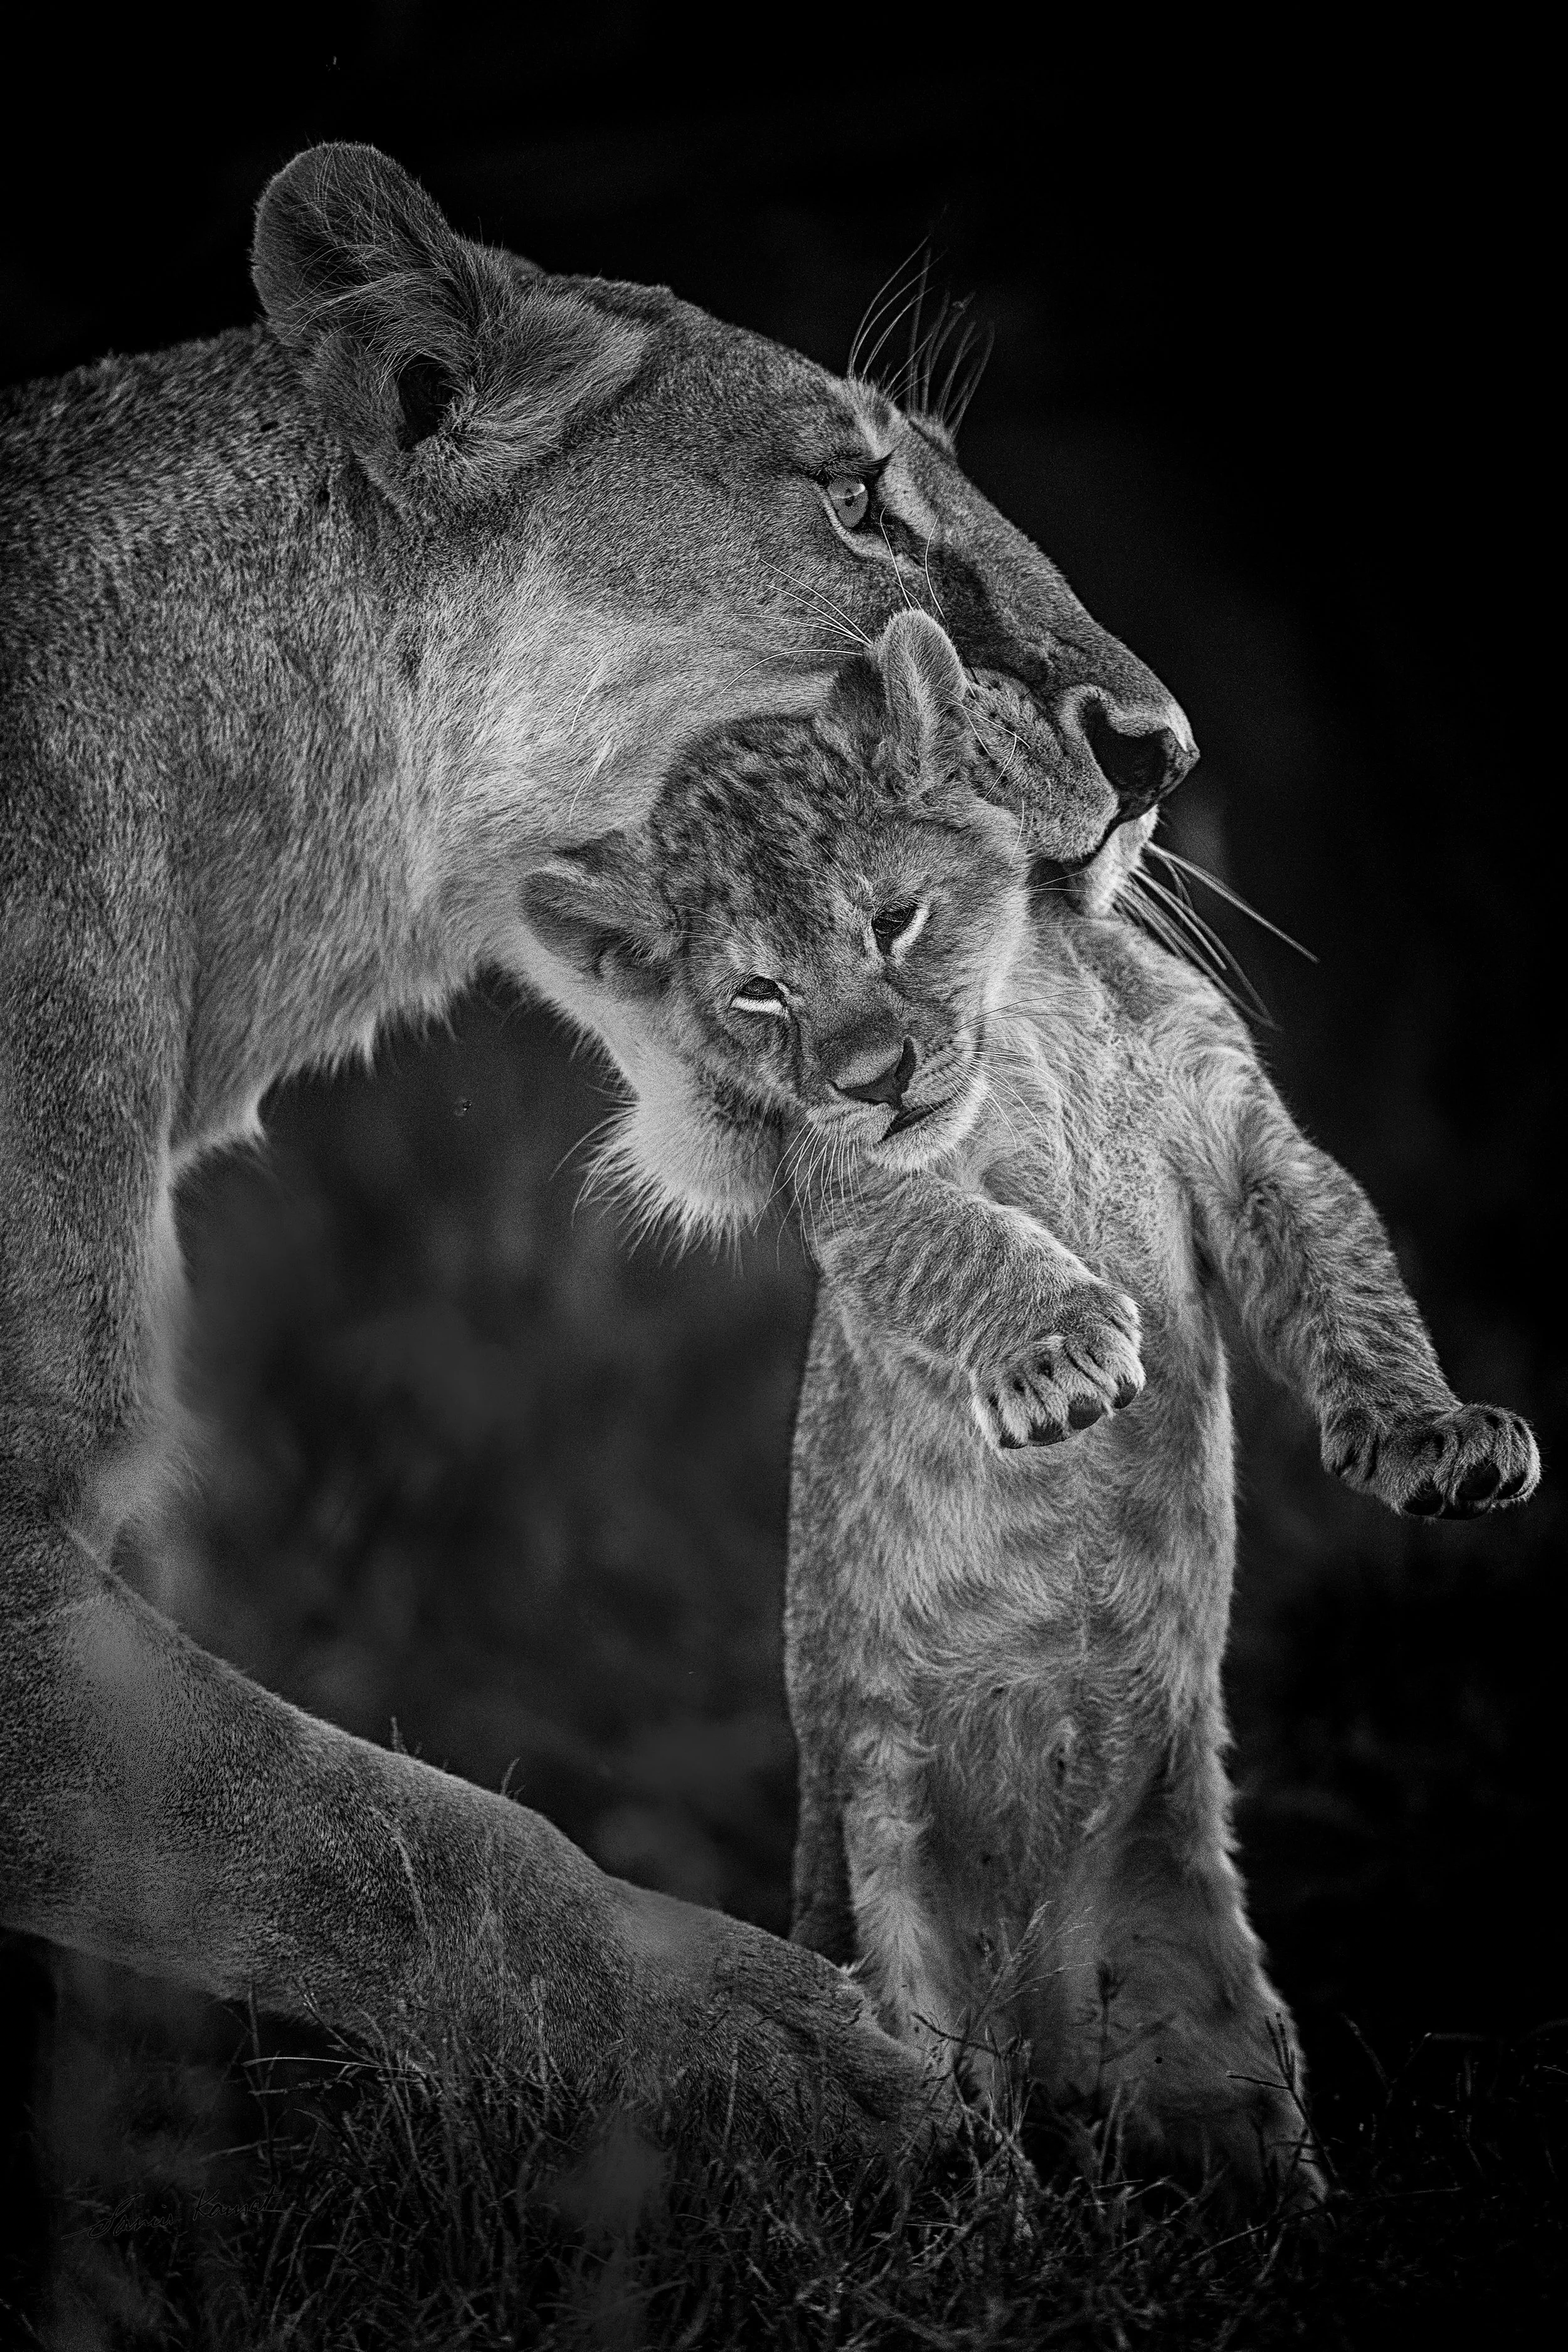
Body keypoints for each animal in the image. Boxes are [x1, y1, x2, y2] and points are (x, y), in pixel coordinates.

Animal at [527, 608, 1538, 2206]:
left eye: (890, 921)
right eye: (757, 994)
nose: (872, 1076)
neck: (1033, 1016)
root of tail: (1046, 2015)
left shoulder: (1241, 1133)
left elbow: (1349, 1272)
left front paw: (1436, 1439)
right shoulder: (861, 1193)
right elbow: (967, 1243)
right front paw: (1063, 1354)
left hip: (1203, 2013)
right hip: (892, 1926)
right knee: (948, 2141)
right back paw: (976, 2193)